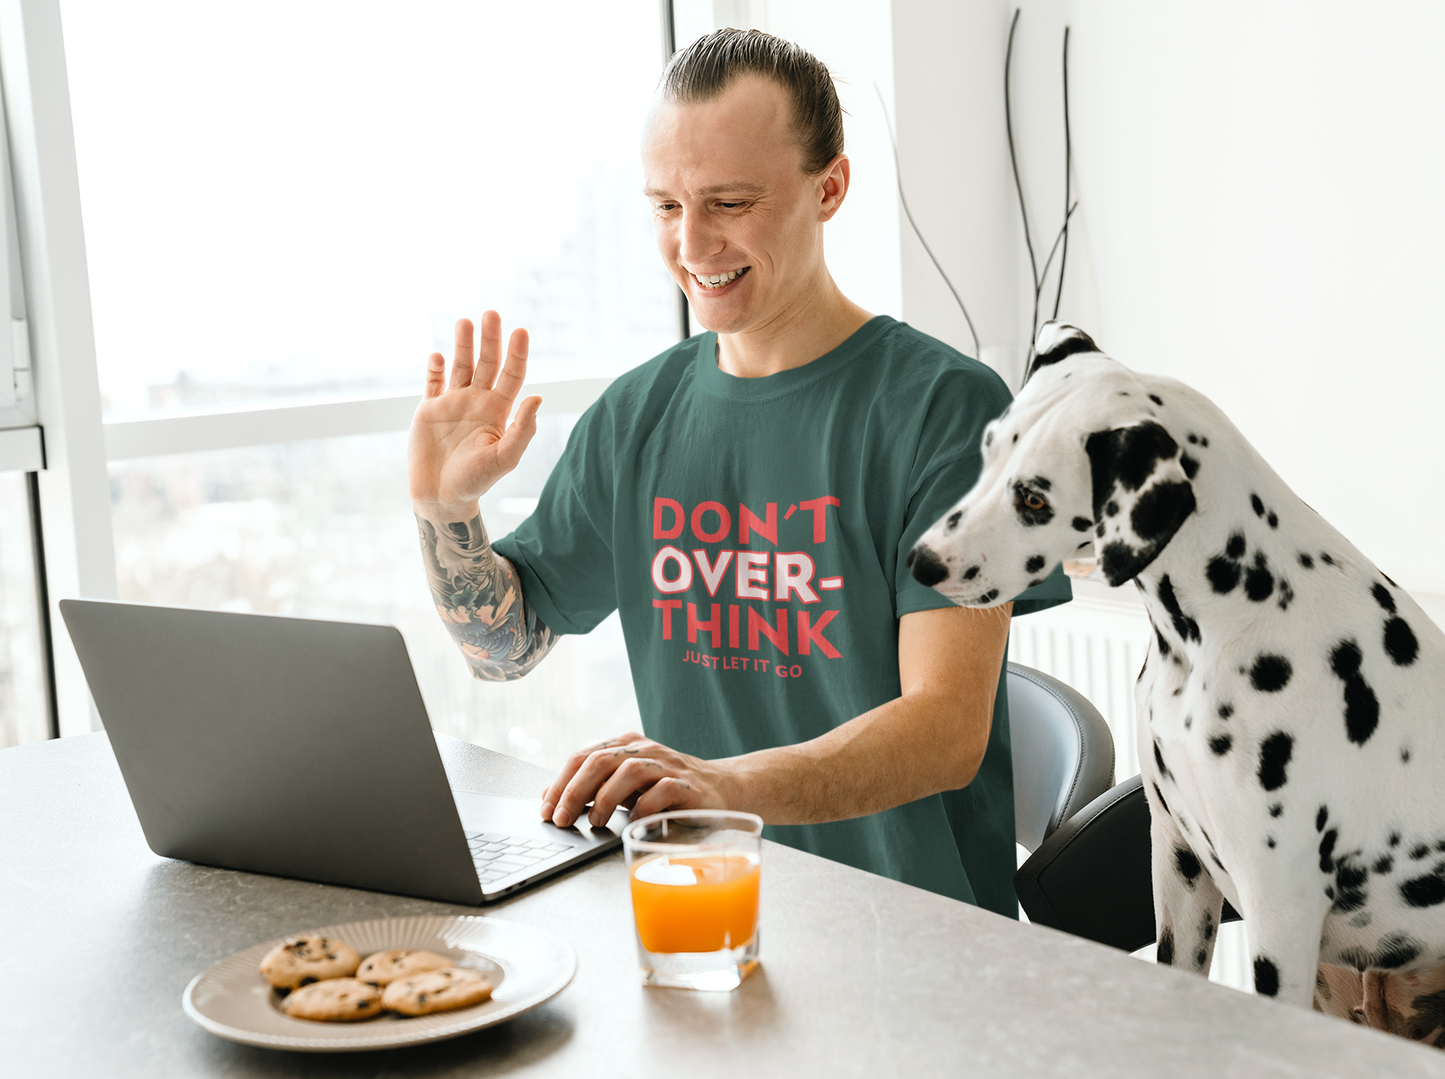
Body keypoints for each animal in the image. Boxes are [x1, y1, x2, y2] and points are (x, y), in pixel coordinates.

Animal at [913, 320, 1445, 1040]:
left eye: (1033, 498)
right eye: (987, 450)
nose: (921, 562)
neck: (1225, 623)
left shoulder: (1279, 911)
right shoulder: (1178, 865)